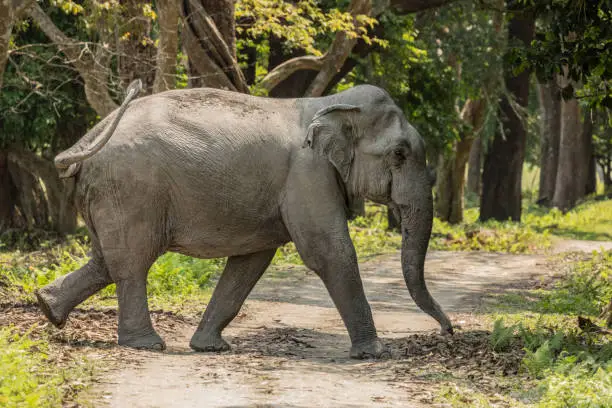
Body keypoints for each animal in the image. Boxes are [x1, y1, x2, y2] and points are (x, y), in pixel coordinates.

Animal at [34, 79, 454, 356]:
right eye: (399, 154)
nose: (448, 331)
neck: (328, 103)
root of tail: (91, 136)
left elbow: (252, 260)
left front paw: (210, 347)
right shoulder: (308, 174)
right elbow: (329, 251)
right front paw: (374, 353)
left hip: (110, 194)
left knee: (106, 260)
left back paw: (47, 307)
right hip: (131, 189)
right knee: (132, 263)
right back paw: (147, 344)